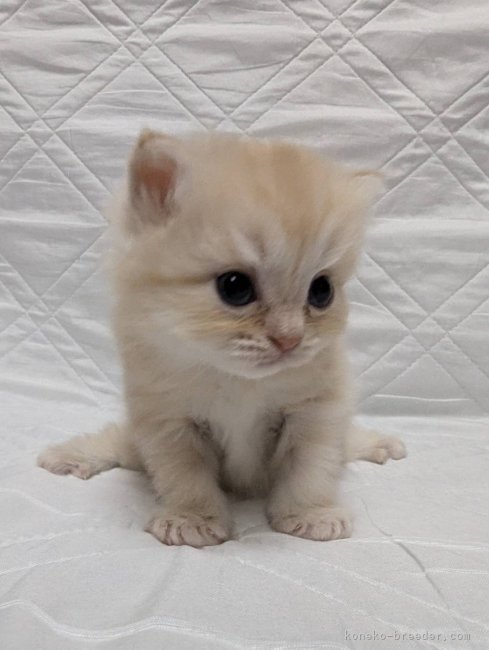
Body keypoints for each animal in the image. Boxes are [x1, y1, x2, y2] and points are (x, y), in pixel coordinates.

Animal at [38, 130, 406, 547]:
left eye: (322, 291)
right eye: (235, 287)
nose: (290, 339)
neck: (237, 380)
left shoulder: (317, 410)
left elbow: (310, 469)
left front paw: (311, 514)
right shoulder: (168, 418)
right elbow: (186, 476)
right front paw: (192, 519)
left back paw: (379, 443)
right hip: (135, 438)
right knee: (119, 443)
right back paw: (71, 455)